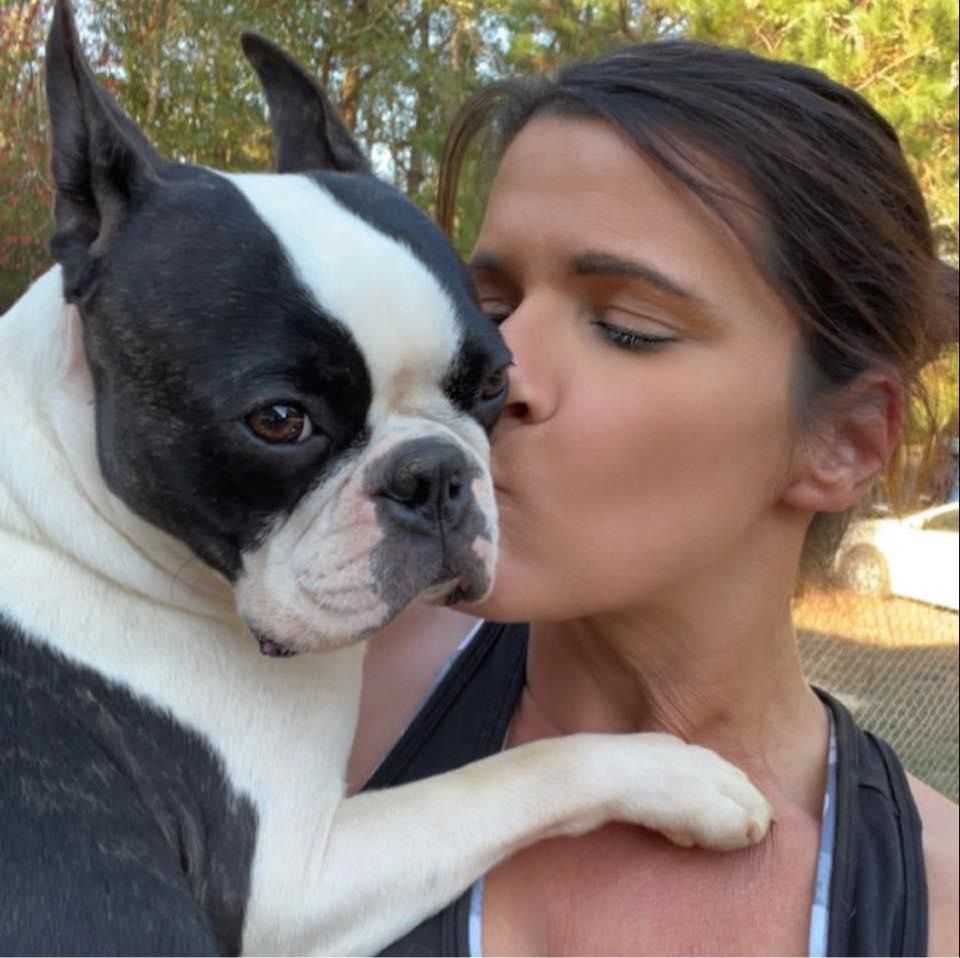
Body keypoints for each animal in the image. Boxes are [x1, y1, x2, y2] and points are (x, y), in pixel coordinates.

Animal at [0, 3, 772, 954]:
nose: (433, 476)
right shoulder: (292, 885)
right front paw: (682, 778)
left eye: (492, 381)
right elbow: (515, 770)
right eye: (280, 420)